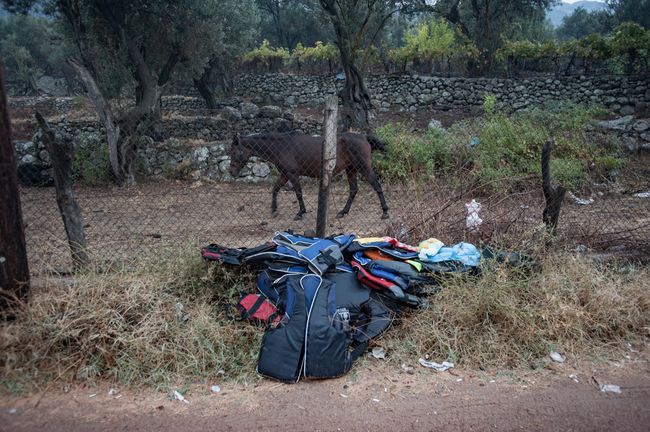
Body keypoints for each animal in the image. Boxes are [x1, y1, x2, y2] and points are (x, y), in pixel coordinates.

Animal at [228, 132, 388, 219]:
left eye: (234, 152)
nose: (231, 172)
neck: (281, 146)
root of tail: (364, 137)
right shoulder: (285, 174)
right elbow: (275, 189)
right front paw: (274, 209)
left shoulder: (292, 174)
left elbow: (298, 193)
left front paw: (300, 212)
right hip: (351, 170)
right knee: (354, 190)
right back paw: (343, 212)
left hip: (363, 167)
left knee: (377, 186)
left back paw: (385, 212)